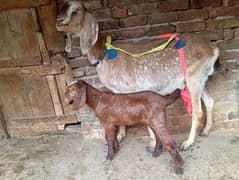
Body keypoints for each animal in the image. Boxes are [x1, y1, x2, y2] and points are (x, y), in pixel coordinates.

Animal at [55, 0, 218, 150]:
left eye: (76, 10)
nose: (58, 21)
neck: (104, 55)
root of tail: (213, 49)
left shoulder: (132, 88)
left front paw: (152, 143)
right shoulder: (118, 90)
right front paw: (120, 137)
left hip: (193, 77)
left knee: (198, 111)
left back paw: (188, 142)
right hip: (200, 77)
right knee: (210, 101)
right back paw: (205, 131)